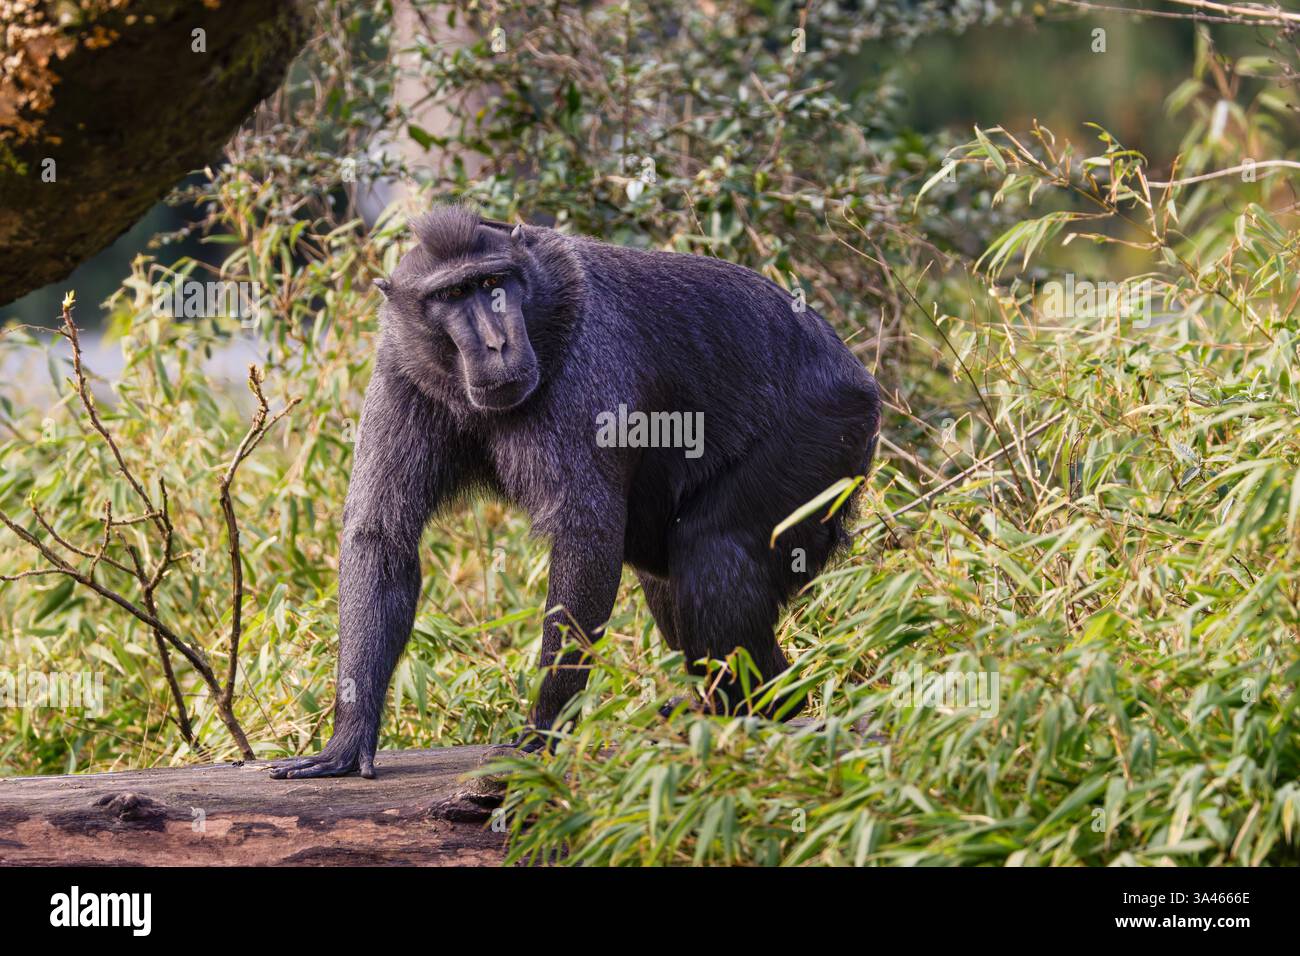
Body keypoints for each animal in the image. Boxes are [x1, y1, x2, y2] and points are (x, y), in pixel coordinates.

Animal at [270, 206, 880, 779]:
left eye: (494, 282)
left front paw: (545, 729)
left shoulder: (585, 369)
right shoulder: (401, 367)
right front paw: (348, 736)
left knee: (713, 550)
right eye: (452, 295)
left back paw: (753, 711)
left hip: (827, 431)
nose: (496, 343)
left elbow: (587, 537)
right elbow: (381, 537)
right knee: (670, 577)